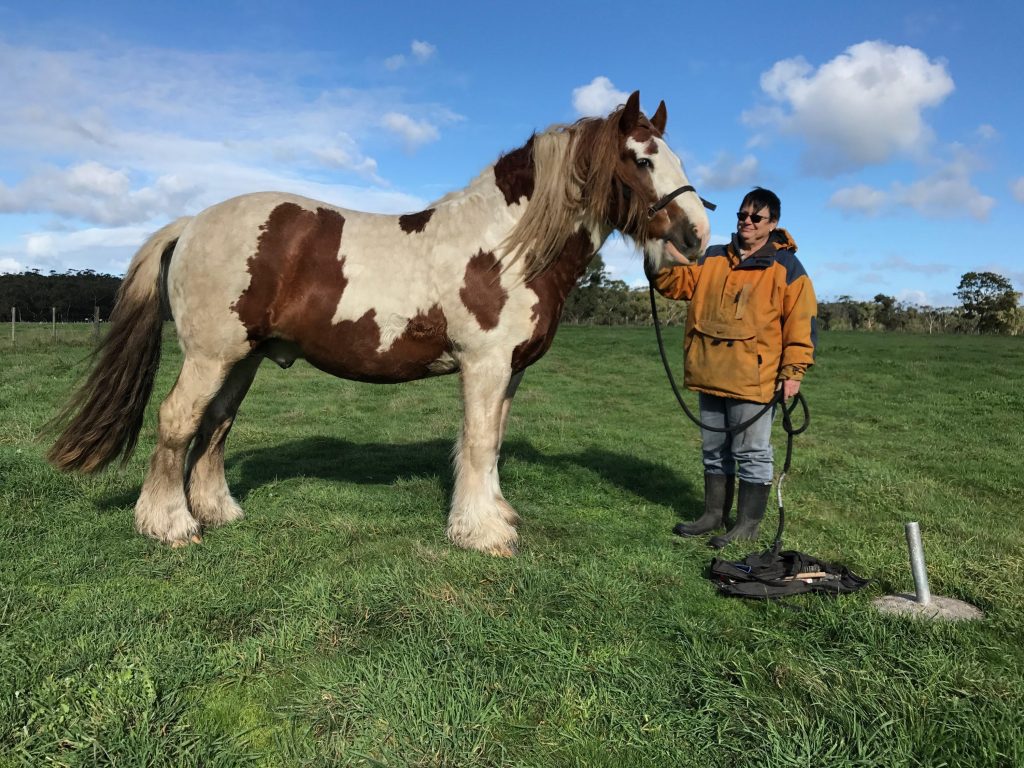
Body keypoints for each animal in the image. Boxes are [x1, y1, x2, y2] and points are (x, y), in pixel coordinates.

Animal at [49, 93, 712, 557]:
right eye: (642, 159)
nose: (696, 236)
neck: (505, 245)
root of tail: (191, 223)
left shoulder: (511, 373)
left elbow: (494, 440)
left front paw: (498, 515)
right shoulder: (484, 365)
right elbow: (477, 442)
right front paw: (482, 534)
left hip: (244, 359)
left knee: (216, 425)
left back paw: (218, 512)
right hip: (210, 355)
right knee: (178, 421)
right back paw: (170, 525)